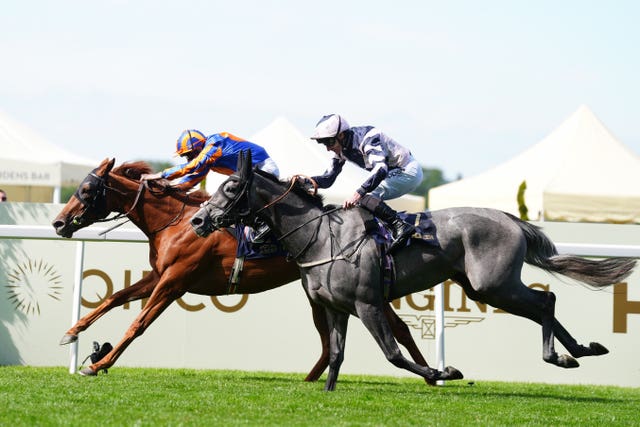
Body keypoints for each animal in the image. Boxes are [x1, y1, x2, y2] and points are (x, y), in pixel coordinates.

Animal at [51, 159, 430, 380]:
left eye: (87, 189)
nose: (58, 223)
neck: (177, 222)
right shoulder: (160, 275)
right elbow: (114, 298)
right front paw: (72, 332)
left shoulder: (175, 282)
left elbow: (138, 323)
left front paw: (97, 364)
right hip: (319, 295)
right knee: (330, 343)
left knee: (397, 328)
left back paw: (431, 374)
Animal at [189, 152, 636, 392]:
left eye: (230, 188)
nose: (197, 220)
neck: (321, 239)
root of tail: (511, 219)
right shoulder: (335, 308)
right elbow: (336, 354)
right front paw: (328, 393)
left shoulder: (368, 304)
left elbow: (393, 354)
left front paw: (443, 371)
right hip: (484, 287)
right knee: (546, 303)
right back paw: (580, 350)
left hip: (492, 285)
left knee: (546, 300)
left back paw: (559, 356)